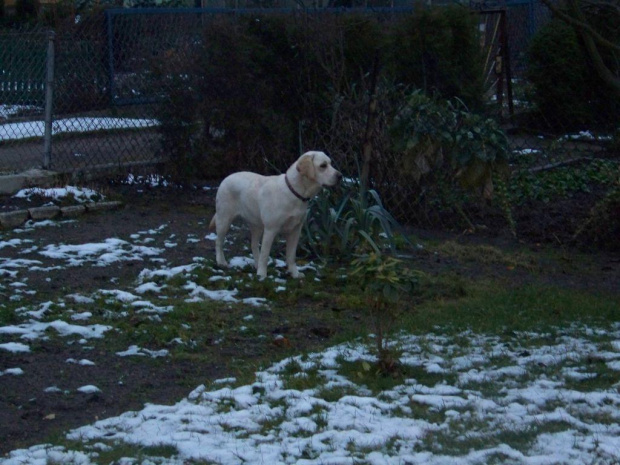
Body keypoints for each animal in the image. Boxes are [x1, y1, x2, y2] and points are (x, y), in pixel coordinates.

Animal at [211, 150, 342, 278]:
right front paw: (262, 275)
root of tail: (226, 178)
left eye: (331, 163)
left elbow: (291, 255)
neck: (295, 192)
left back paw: (256, 265)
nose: (340, 176)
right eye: (323, 166)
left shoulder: (296, 230)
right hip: (224, 219)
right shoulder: (271, 229)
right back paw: (221, 262)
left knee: (253, 245)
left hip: (256, 225)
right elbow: (265, 254)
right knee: (218, 242)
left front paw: (294, 273)